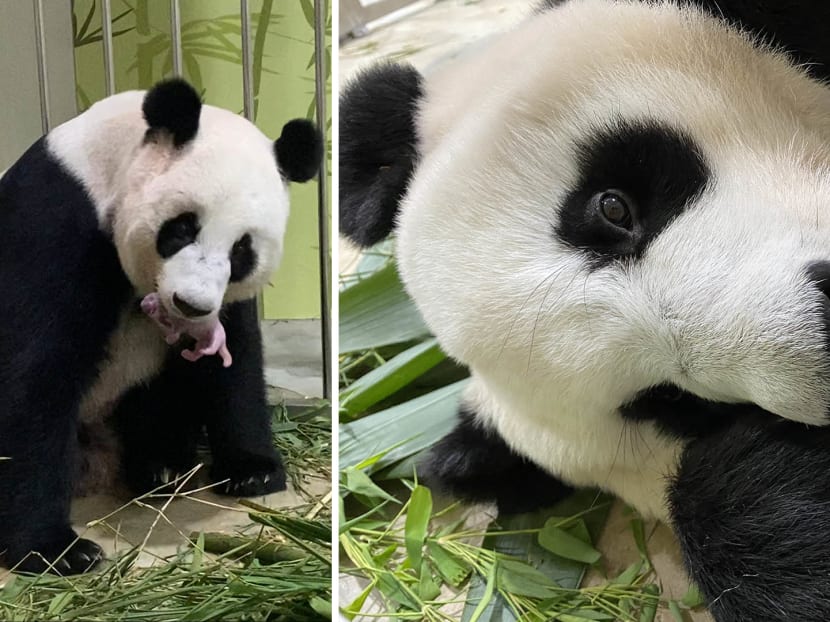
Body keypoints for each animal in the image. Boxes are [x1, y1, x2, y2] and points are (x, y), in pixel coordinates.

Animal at [0, 80, 322, 576]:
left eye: (242, 250)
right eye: (183, 228)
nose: (191, 304)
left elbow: (236, 361)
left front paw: (253, 471)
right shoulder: (55, 225)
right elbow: (36, 375)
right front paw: (55, 551)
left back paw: (161, 464)